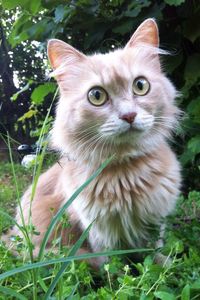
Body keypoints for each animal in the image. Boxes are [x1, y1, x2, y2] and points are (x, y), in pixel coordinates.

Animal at [3, 18, 181, 266]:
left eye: (140, 86)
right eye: (97, 96)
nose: (129, 115)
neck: (126, 172)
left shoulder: (156, 221)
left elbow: (155, 254)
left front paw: (166, 265)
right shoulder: (99, 235)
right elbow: (114, 268)